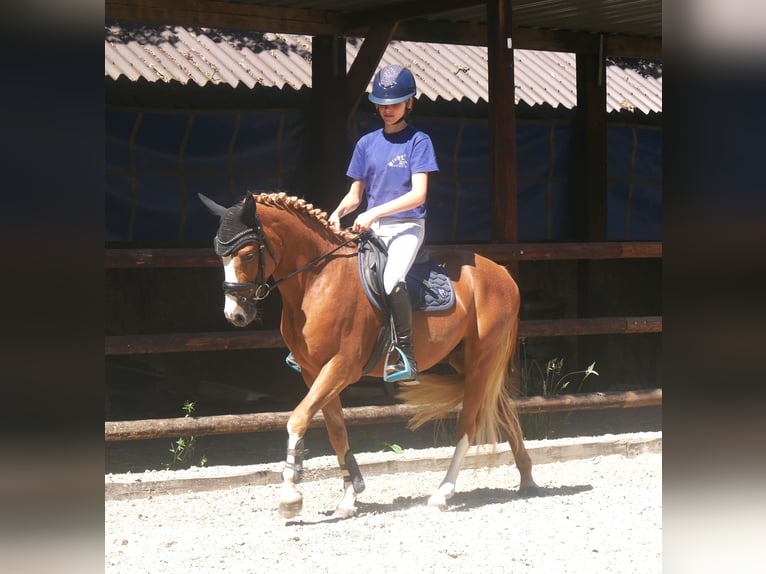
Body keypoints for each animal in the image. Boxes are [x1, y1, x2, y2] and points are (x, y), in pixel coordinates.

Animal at [200, 191, 540, 520]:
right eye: (220, 255)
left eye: (247, 254)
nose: (235, 315)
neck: (317, 281)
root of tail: (501, 273)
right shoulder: (314, 371)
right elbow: (336, 431)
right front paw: (350, 497)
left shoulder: (342, 366)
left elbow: (297, 419)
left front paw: (290, 496)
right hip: (466, 359)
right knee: (503, 409)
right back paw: (527, 479)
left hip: (483, 357)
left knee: (469, 422)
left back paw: (443, 493)